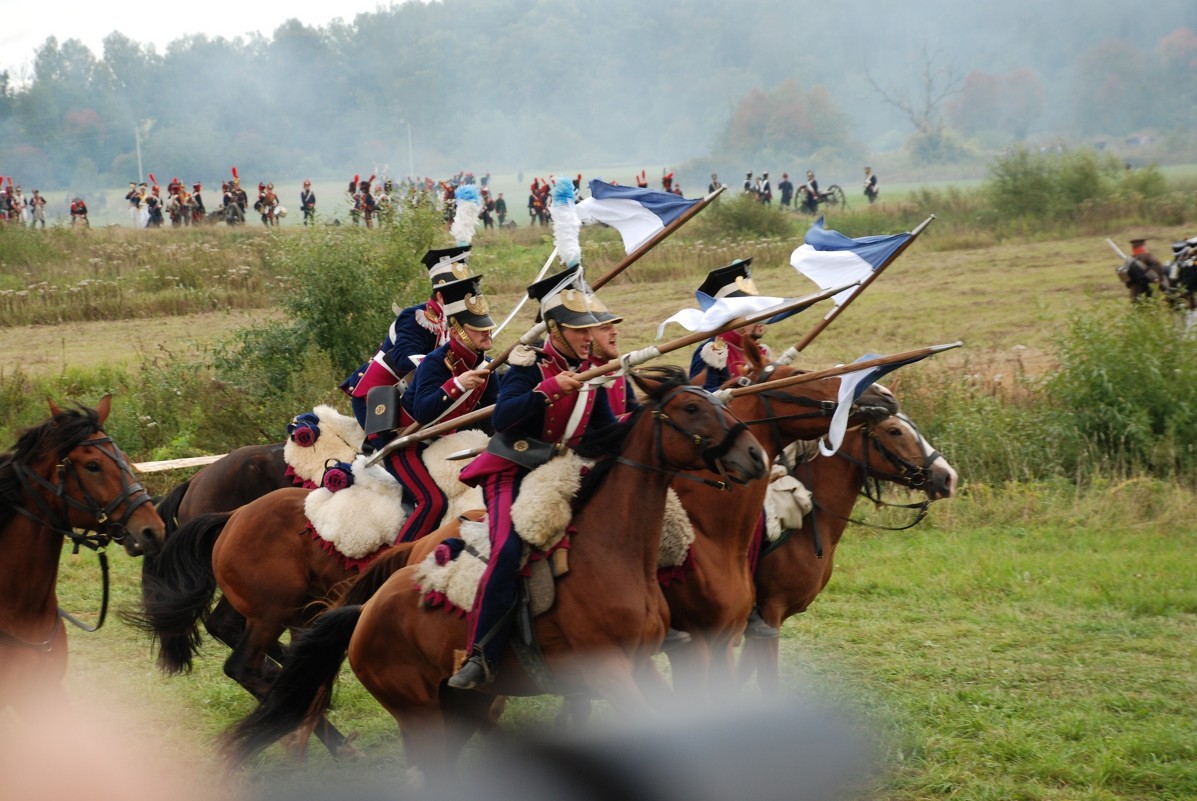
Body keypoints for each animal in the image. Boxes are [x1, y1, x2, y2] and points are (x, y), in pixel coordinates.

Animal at [223, 366, 766, 775]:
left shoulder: (646, 663)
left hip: (452, 705)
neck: (614, 551)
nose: (755, 456)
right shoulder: (611, 672)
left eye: (721, 403)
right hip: (408, 707)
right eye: (690, 409)